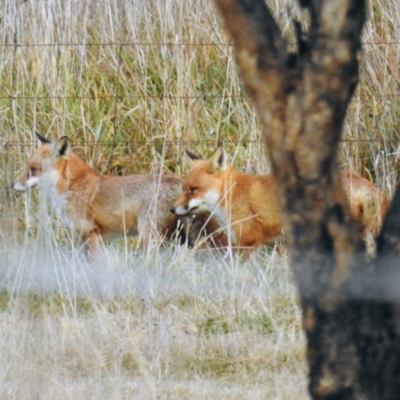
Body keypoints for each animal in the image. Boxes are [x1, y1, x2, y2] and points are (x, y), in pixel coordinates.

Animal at [11, 134, 225, 253]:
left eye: (34, 170)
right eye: (26, 167)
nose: (12, 184)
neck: (74, 186)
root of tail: (180, 184)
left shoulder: (90, 234)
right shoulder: (102, 239)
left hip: (149, 239)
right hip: (179, 240)